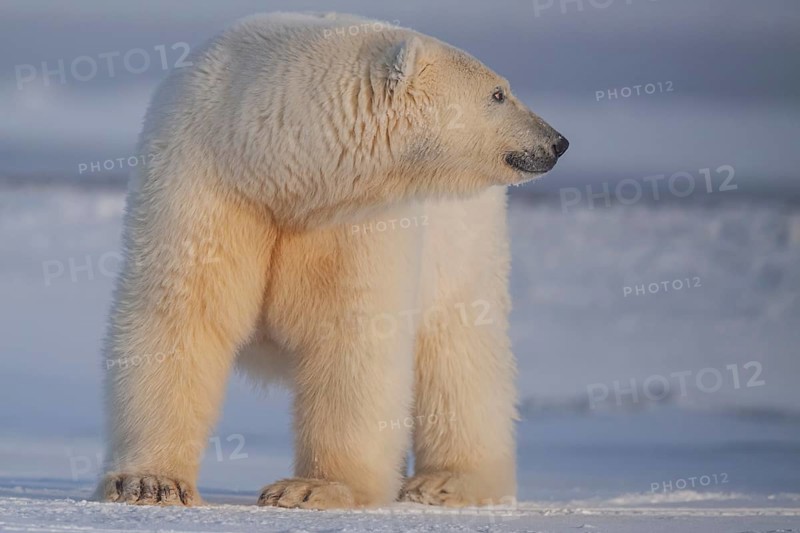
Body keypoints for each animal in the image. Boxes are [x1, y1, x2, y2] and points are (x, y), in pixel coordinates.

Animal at [97, 12, 568, 509]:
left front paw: (311, 487)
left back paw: (446, 480)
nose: (557, 142)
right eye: (498, 93)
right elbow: (182, 313)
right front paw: (151, 483)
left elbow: (354, 334)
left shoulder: (359, 218)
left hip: (464, 243)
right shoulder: (207, 181)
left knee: (460, 352)